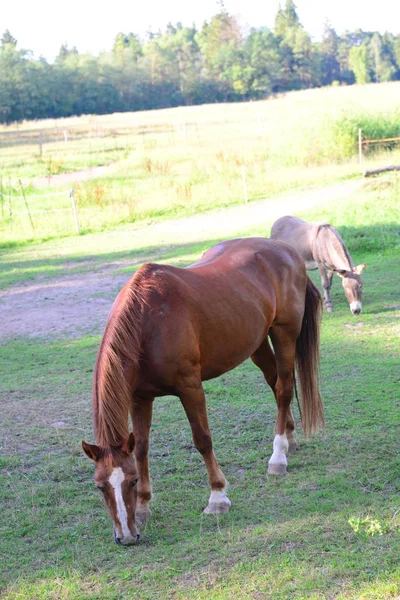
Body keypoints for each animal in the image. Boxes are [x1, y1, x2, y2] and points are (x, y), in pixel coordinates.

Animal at [83, 237, 324, 548]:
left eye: (131, 481)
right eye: (100, 487)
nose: (125, 536)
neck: (148, 323)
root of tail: (286, 249)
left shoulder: (190, 387)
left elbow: (202, 440)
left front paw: (217, 497)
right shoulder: (140, 397)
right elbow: (143, 448)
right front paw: (144, 507)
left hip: (284, 334)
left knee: (283, 389)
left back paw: (278, 456)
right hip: (257, 342)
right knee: (275, 383)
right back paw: (289, 439)